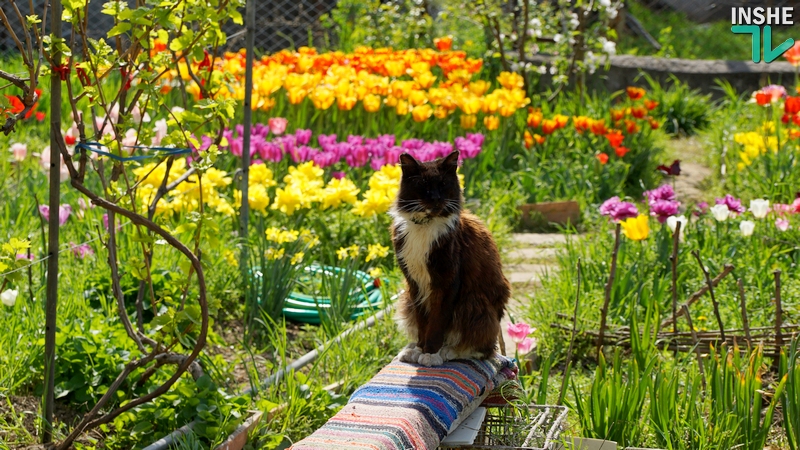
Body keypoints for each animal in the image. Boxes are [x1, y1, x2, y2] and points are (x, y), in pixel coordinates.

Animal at [390, 149, 512, 368]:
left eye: (443, 184)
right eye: (423, 185)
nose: (436, 198)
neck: (426, 224)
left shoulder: (447, 282)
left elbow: (437, 322)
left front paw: (430, 353)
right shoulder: (415, 284)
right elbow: (423, 322)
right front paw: (420, 348)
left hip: (472, 301)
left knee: (484, 349)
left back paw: (450, 351)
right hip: (406, 300)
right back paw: (412, 349)